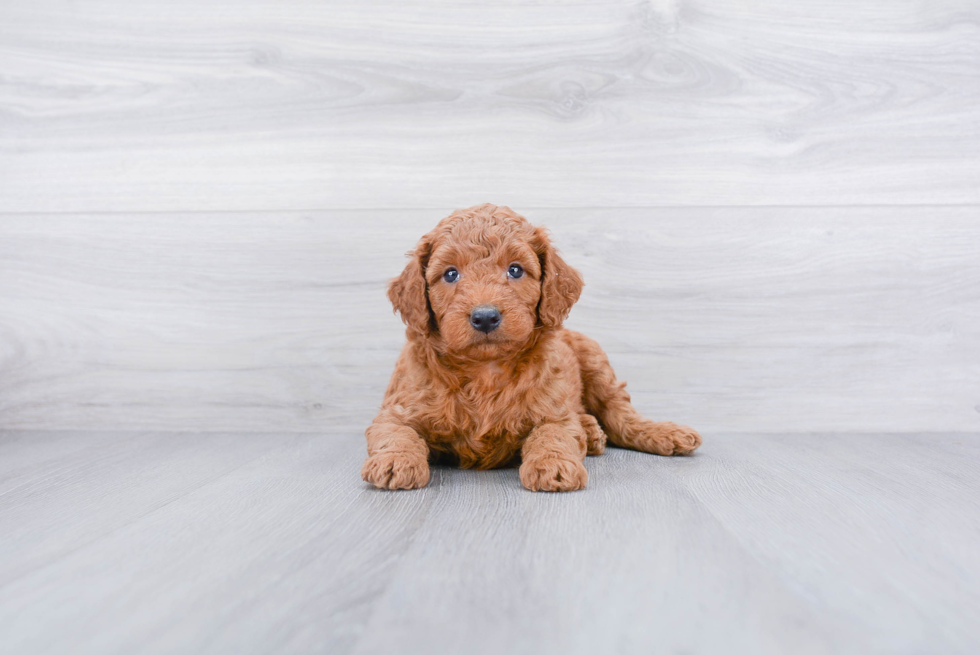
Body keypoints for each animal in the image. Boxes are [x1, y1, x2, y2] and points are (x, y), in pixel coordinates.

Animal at [364, 205, 700, 492]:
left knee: (621, 416)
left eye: (515, 270)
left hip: (595, 360)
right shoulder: (398, 408)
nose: (485, 317)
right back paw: (592, 431)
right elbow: (397, 432)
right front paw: (395, 461)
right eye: (450, 274)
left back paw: (662, 433)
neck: (485, 370)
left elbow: (552, 434)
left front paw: (553, 465)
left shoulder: (553, 411)